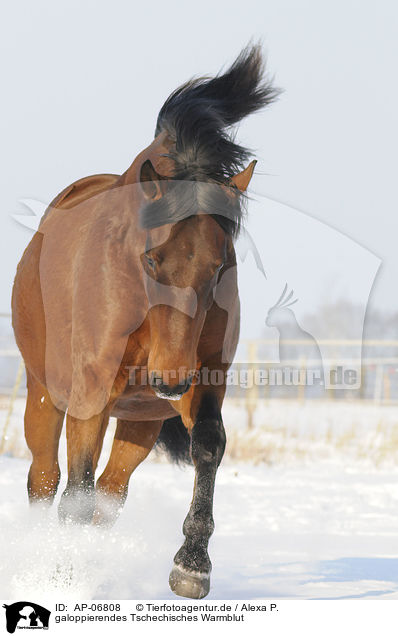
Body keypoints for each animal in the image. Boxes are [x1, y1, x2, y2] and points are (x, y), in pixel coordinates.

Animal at [11, 46, 276, 600]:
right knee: (45, 479)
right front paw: (62, 581)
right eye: (151, 260)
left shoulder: (204, 383)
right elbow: (74, 491)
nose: (169, 379)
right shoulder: (90, 395)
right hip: (45, 396)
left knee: (109, 494)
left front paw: (192, 567)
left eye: (221, 265)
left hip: (140, 419)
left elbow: (208, 447)